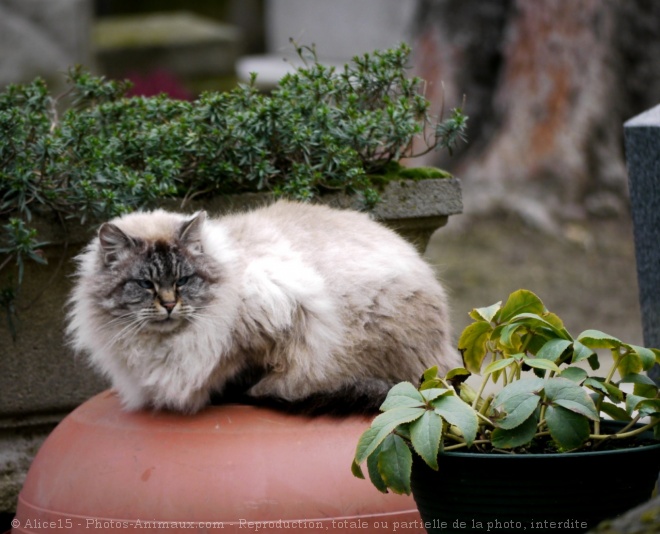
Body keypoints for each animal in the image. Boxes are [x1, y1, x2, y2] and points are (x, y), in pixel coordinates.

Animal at [67, 201, 458, 414]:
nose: (168, 305)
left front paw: (231, 395)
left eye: (183, 280)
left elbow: (245, 372)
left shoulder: (278, 309)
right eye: (145, 284)